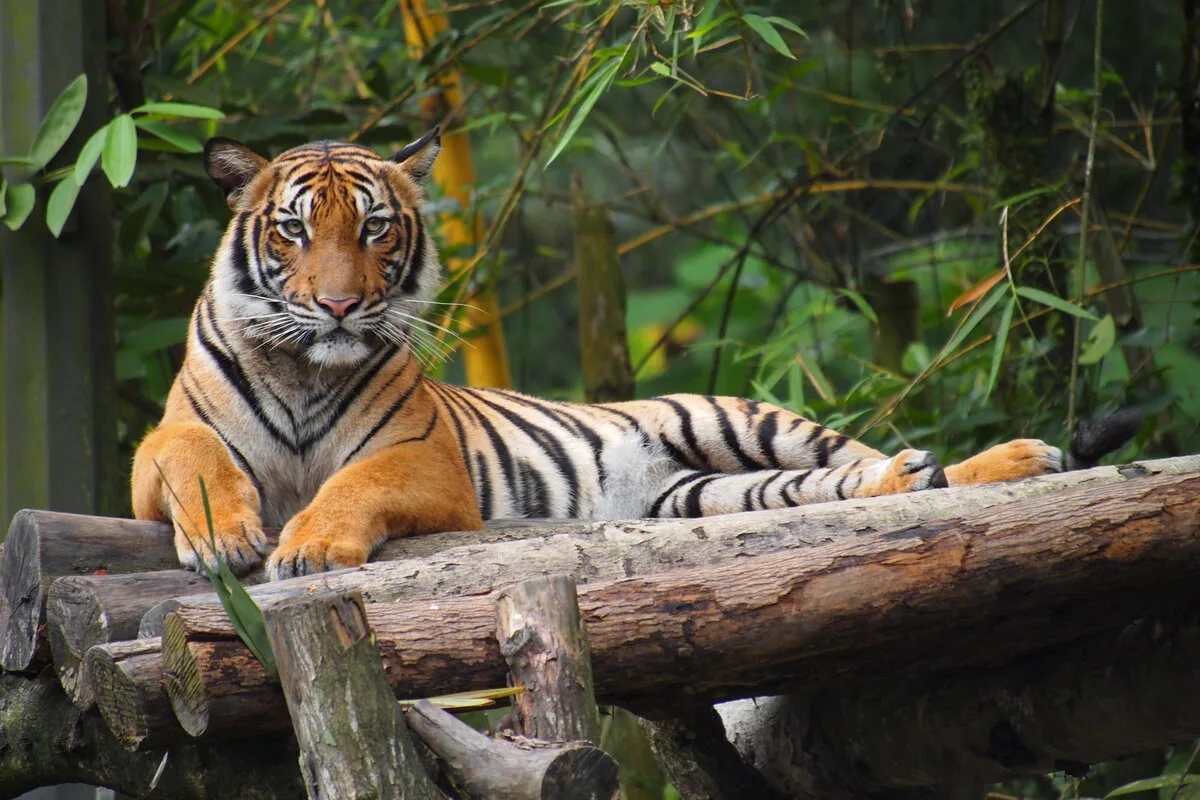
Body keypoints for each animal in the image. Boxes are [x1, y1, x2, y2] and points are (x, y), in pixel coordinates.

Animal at [131, 127, 1137, 581]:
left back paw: (1015, 458)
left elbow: (352, 484)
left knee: (881, 461)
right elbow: (192, 457)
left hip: (744, 419)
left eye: (375, 229)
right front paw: (225, 537)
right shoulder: (156, 449)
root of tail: (647, 473)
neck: (308, 367)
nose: (340, 304)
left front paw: (308, 546)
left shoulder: (421, 459)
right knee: (864, 481)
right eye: (295, 231)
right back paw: (928, 471)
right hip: (708, 492)